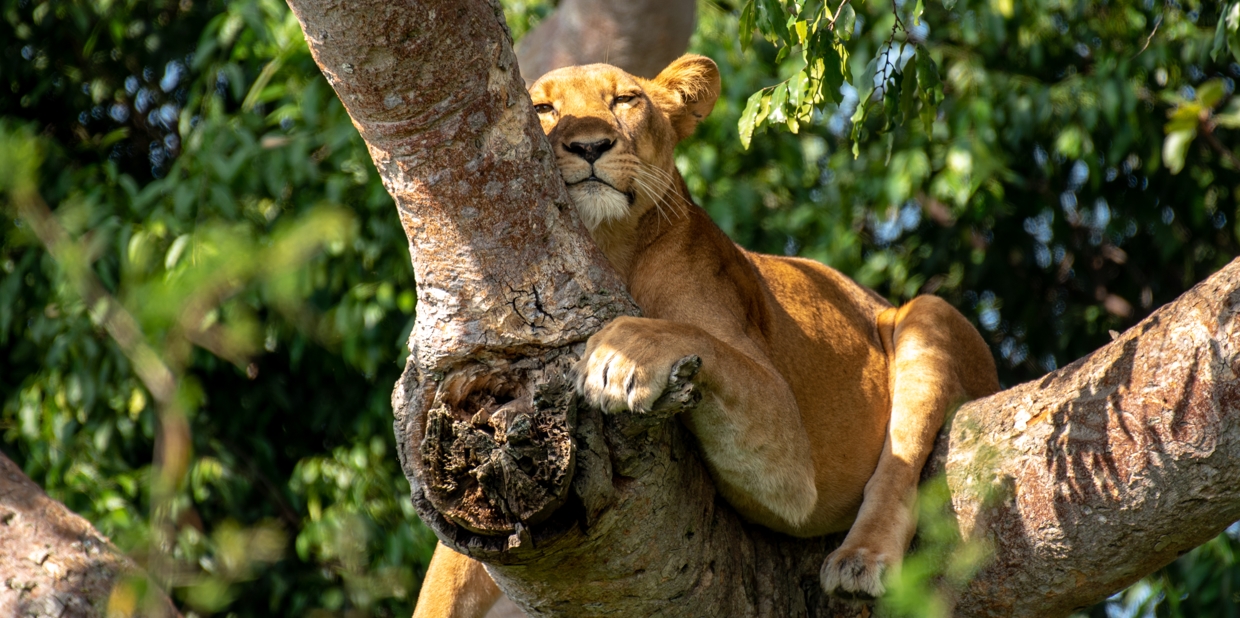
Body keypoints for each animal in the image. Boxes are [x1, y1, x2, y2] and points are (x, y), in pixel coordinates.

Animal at [413, 54, 1000, 618]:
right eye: (542, 108)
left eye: (625, 100)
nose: (590, 146)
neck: (611, 247)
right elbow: (443, 579)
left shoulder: (791, 462)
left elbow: (692, 336)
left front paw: (620, 357)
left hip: (928, 314)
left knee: (900, 463)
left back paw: (861, 559)